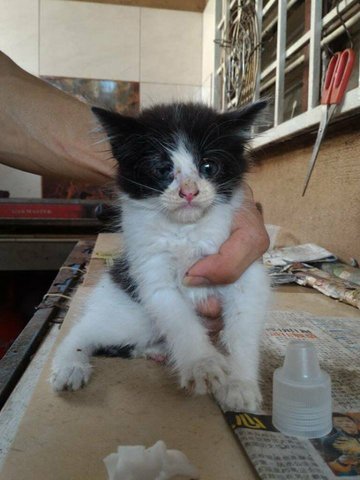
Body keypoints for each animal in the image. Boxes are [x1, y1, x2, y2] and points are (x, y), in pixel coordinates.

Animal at [50, 101, 270, 412]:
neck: (186, 230)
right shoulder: (150, 271)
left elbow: (243, 326)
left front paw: (240, 384)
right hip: (128, 315)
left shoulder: (244, 268)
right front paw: (202, 363)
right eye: (163, 169)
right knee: (84, 331)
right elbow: (179, 319)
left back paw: (157, 351)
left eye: (208, 166)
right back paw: (71, 365)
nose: (189, 192)